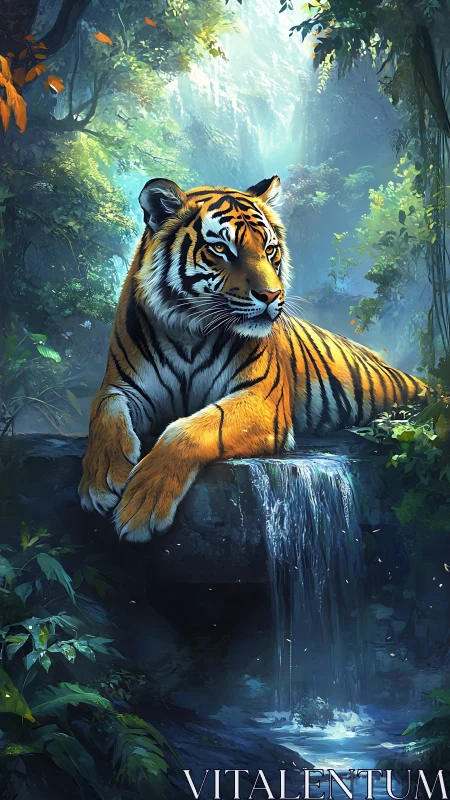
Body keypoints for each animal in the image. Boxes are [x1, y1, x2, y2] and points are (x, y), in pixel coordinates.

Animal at [79, 175, 425, 542]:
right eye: (221, 249)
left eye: (270, 250)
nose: (272, 296)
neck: (190, 331)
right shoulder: (123, 387)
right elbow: (102, 411)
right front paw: (101, 479)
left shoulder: (261, 398)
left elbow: (188, 429)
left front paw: (142, 503)